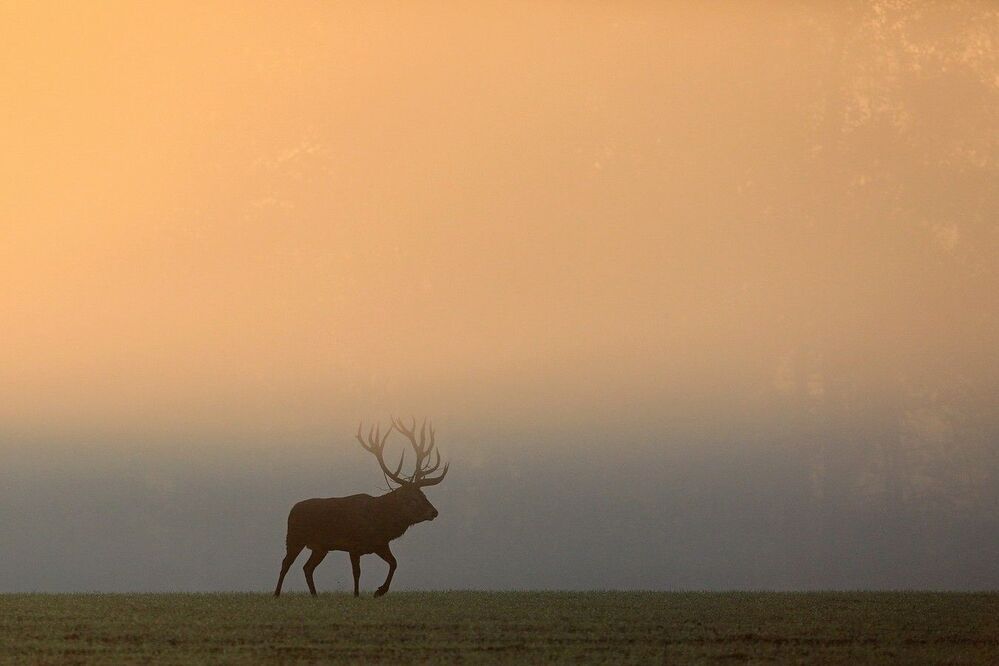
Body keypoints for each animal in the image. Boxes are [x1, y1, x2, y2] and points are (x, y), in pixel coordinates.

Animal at [274, 417, 449, 598]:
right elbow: (357, 572)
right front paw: (357, 595)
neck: (378, 521)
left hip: (320, 547)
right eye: (412, 499)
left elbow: (394, 563)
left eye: (424, 495)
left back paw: (314, 595)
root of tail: (292, 509)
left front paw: (380, 591)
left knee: (307, 568)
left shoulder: (380, 544)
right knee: (286, 563)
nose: (434, 512)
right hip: (294, 537)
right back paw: (277, 593)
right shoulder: (354, 545)